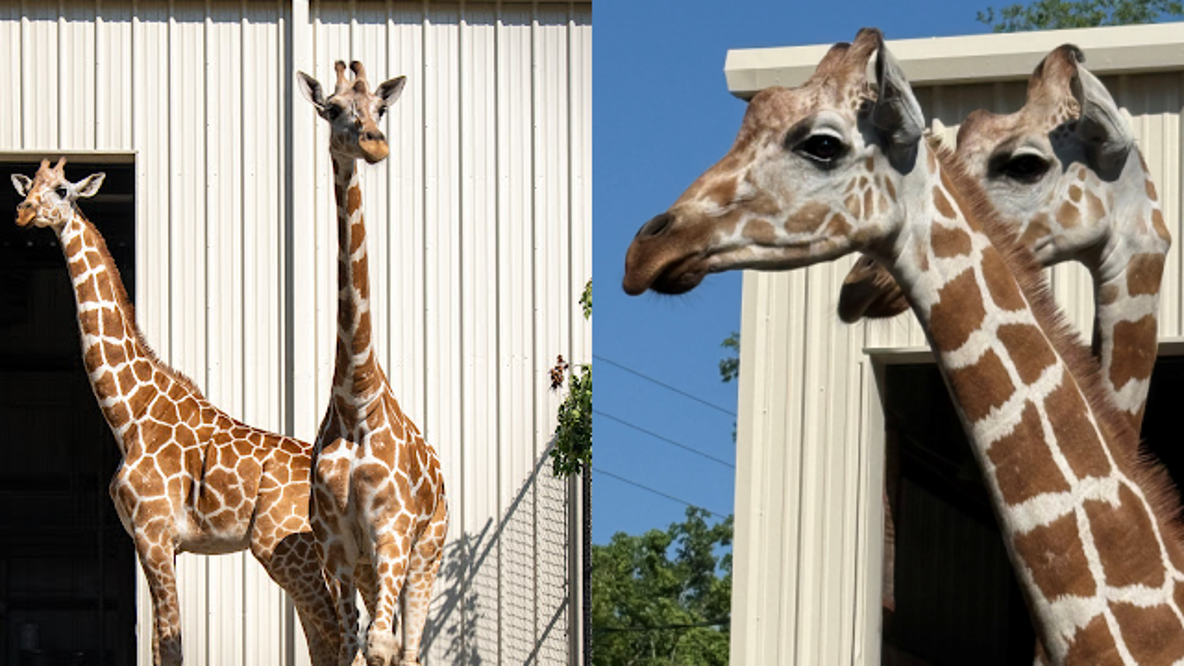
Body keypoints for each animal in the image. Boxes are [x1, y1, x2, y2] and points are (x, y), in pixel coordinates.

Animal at [10, 158, 340, 666]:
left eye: (63, 190)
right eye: (30, 188)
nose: (24, 213)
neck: (128, 414)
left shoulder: (154, 532)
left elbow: (171, 642)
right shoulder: (153, 542)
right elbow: (157, 643)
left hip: (283, 547)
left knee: (335, 633)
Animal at [297, 61, 448, 666]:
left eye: (379, 107)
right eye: (333, 108)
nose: (375, 143)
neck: (356, 396)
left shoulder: (392, 533)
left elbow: (384, 646)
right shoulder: (338, 547)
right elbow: (347, 646)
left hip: (425, 555)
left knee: (410, 645)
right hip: (370, 568)